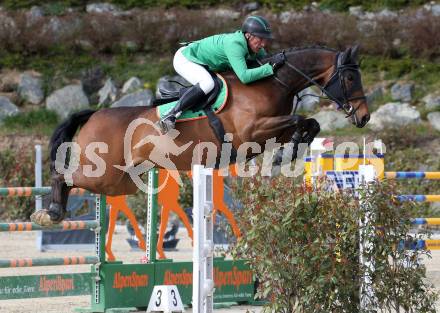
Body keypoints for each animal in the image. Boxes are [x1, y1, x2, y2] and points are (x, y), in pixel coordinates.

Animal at [30, 45, 372, 225]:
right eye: (350, 78)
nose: (364, 116)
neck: (272, 83)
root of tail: (94, 114)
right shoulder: (252, 130)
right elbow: (301, 118)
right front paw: (287, 152)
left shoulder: (268, 131)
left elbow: (308, 124)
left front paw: (290, 151)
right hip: (103, 174)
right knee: (63, 177)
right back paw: (51, 212)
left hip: (119, 183)